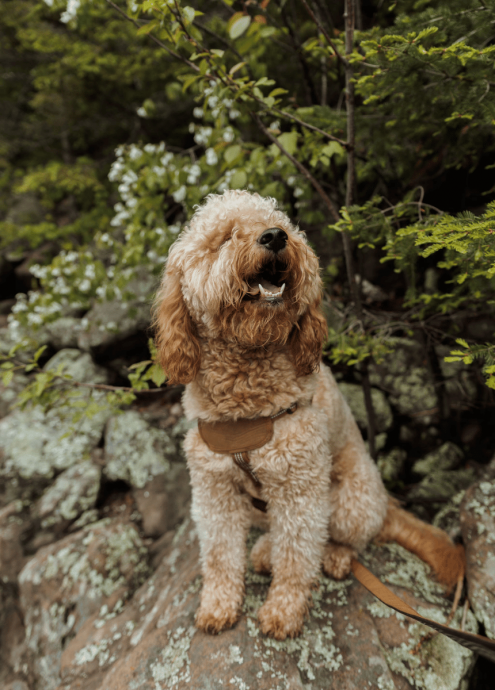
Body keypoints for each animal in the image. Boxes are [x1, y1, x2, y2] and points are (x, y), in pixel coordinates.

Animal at [154, 189, 464, 640]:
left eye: (280, 223)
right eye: (224, 237)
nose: (274, 237)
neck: (247, 383)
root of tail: (387, 503)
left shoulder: (299, 486)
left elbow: (298, 556)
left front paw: (283, 611)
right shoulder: (214, 489)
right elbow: (219, 554)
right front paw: (218, 604)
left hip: (351, 500)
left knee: (345, 539)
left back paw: (333, 557)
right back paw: (265, 550)